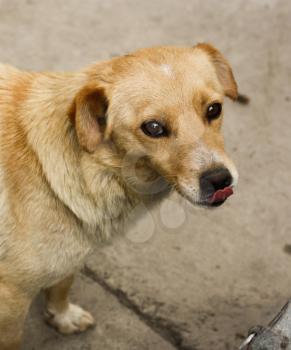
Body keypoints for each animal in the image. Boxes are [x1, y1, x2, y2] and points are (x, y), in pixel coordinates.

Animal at [0, 44, 238, 350]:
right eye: (153, 128)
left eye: (214, 109)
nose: (220, 179)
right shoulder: (11, 297)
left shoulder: (73, 256)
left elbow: (63, 285)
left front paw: (63, 316)